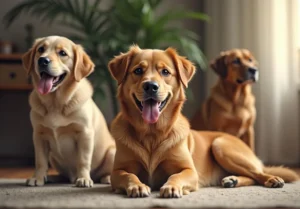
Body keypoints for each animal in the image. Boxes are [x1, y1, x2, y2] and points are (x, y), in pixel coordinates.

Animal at [22, 36, 115, 188]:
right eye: (41, 49)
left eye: (62, 53)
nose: (42, 60)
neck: (55, 103)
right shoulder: (38, 135)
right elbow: (40, 161)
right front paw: (38, 178)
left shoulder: (85, 133)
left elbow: (83, 160)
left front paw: (83, 179)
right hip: (52, 157)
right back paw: (51, 177)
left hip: (112, 152)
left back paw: (106, 178)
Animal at [107, 45, 298, 198]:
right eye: (138, 71)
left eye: (165, 72)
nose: (151, 86)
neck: (151, 133)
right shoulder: (116, 172)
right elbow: (128, 175)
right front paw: (137, 186)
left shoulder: (190, 171)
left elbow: (176, 176)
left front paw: (171, 187)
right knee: (251, 177)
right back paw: (232, 180)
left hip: (221, 146)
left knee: (258, 174)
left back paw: (272, 179)